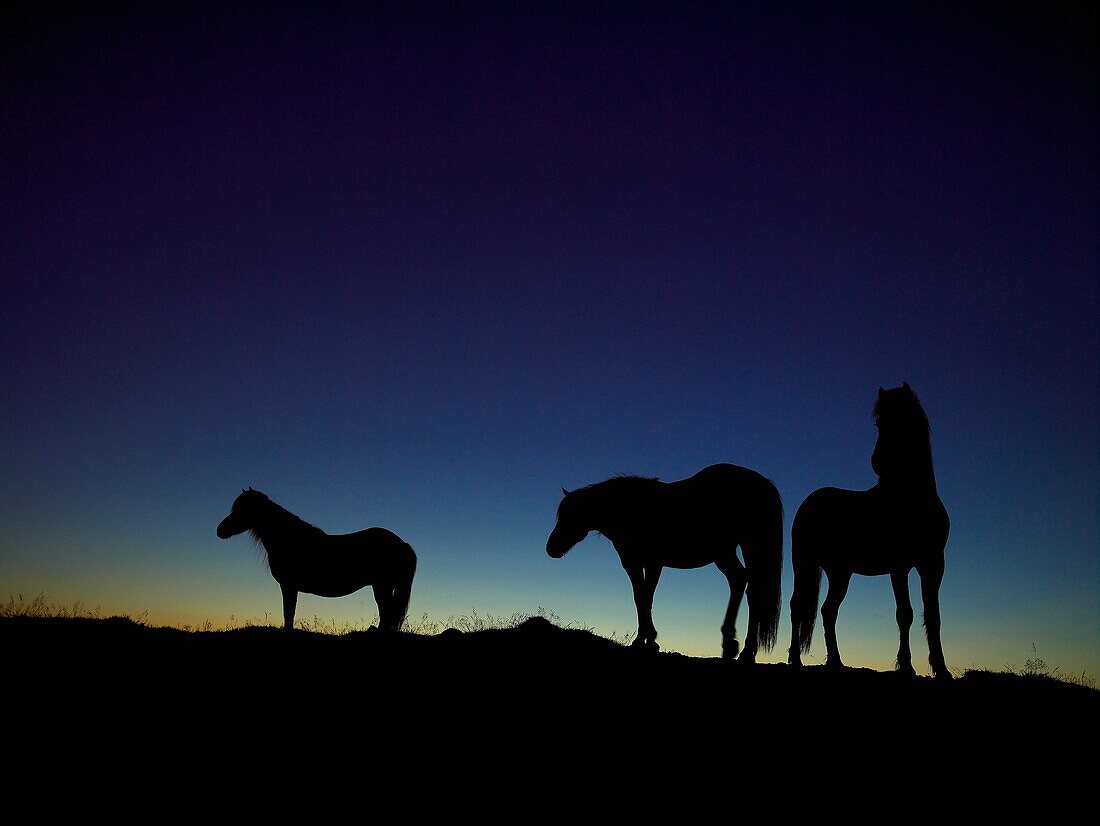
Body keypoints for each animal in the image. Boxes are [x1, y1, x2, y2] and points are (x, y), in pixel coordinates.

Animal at [215, 490, 415, 633]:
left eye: (243, 510)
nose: (220, 530)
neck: (289, 539)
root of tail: (402, 543)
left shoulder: (289, 585)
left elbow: (289, 612)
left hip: (382, 585)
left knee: (387, 612)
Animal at [545, 466, 778, 664]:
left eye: (570, 516)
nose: (550, 548)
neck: (628, 510)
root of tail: (761, 482)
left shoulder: (651, 563)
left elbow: (646, 596)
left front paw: (648, 640)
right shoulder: (635, 563)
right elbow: (641, 597)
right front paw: (645, 640)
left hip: (746, 546)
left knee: (751, 589)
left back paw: (745, 651)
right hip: (725, 553)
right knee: (739, 580)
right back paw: (731, 645)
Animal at [787, 384, 950, 681]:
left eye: (904, 417)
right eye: (878, 422)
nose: (878, 462)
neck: (911, 498)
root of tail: (809, 501)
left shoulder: (933, 564)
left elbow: (933, 615)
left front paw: (941, 669)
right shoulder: (899, 566)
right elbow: (905, 613)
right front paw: (906, 666)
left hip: (839, 572)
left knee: (828, 611)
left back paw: (836, 662)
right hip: (803, 564)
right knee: (798, 606)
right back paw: (795, 660)